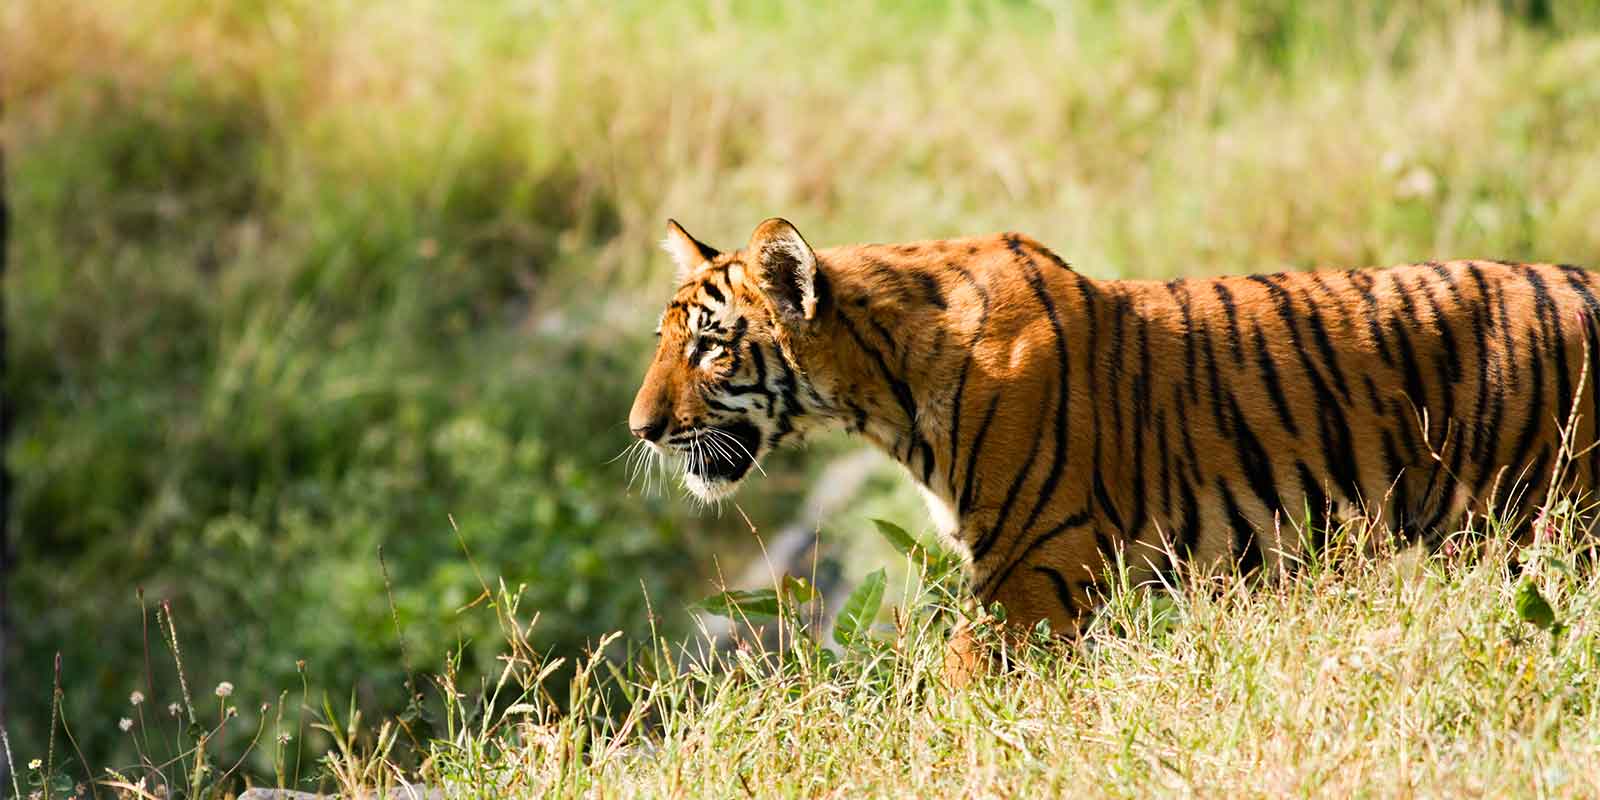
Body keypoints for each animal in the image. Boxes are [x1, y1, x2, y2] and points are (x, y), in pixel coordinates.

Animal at [628, 217, 1600, 670]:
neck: (885, 392)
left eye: (710, 347)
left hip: (1553, 525)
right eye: (664, 340)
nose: (641, 430)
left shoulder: (1031, 574)